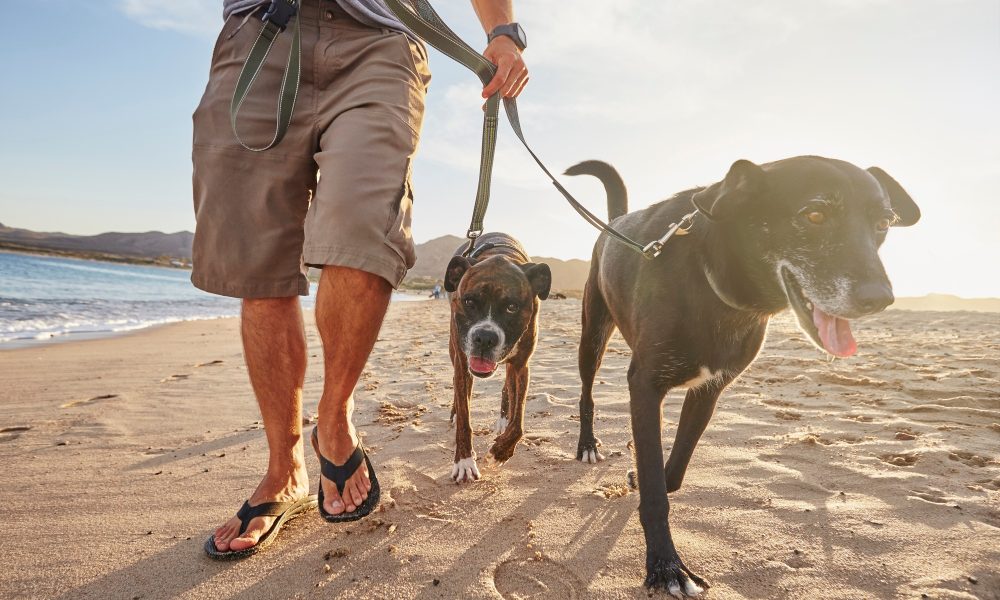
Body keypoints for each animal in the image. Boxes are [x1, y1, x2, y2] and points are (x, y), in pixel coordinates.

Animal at [568, 156, 916, 596]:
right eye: (815, 215)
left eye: (883, 223)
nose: (879, 299)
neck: (713, 284)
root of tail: (614, 224)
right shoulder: (644, 386)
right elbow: (655, 492)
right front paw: (666, 566)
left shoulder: (710, 391)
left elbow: (672, 469)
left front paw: (648, 480)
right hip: (593, 335)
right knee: (586, 393)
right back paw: (587, 444)